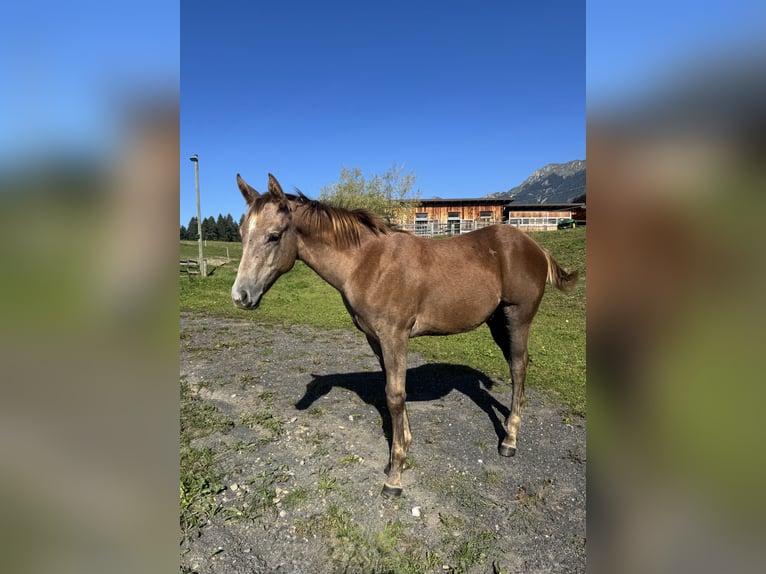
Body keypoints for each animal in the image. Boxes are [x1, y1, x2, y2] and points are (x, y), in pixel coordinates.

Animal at [231, 173, 579, 496]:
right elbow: (393, 392)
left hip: (517, 318)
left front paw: (395, 477)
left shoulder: (394, 336)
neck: (366, 263)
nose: (241, 297)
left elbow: (395, 396)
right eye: (242, 234)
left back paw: (509, 440)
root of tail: (535, 246)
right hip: (497, 321)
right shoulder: (376, 339)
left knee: (519, 368)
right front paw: (398, 456)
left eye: (274, 236)